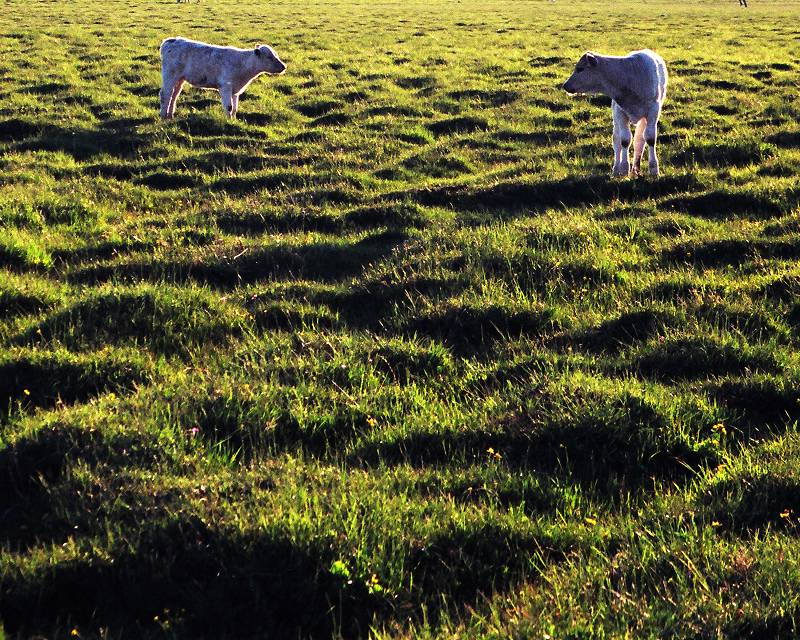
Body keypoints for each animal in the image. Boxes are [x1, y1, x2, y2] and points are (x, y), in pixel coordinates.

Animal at [158, 36, 286, 119]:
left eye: (276, 55)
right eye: (269, 57)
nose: (284, 66)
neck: (243, 63)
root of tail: (171, 40)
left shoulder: (236, 90)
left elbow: (235, 108)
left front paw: (233, 120)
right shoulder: (225, 86)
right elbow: (229, 107)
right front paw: (228, 121)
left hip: (179, 79)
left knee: (174, 95)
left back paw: (170, 115)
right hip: (169, 75)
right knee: (165, 94)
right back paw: (164, 116)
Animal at [564, 49, 668, 178]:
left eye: (580, 69)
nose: (565, 85)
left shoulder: (653, 111)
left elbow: (650, 138)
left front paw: (654, 169)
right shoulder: (620, 112)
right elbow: (624, 140)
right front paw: (623, 168)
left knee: (639, 141)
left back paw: (636, 169)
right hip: (616, 117)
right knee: (617, 141)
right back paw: (616, 169)